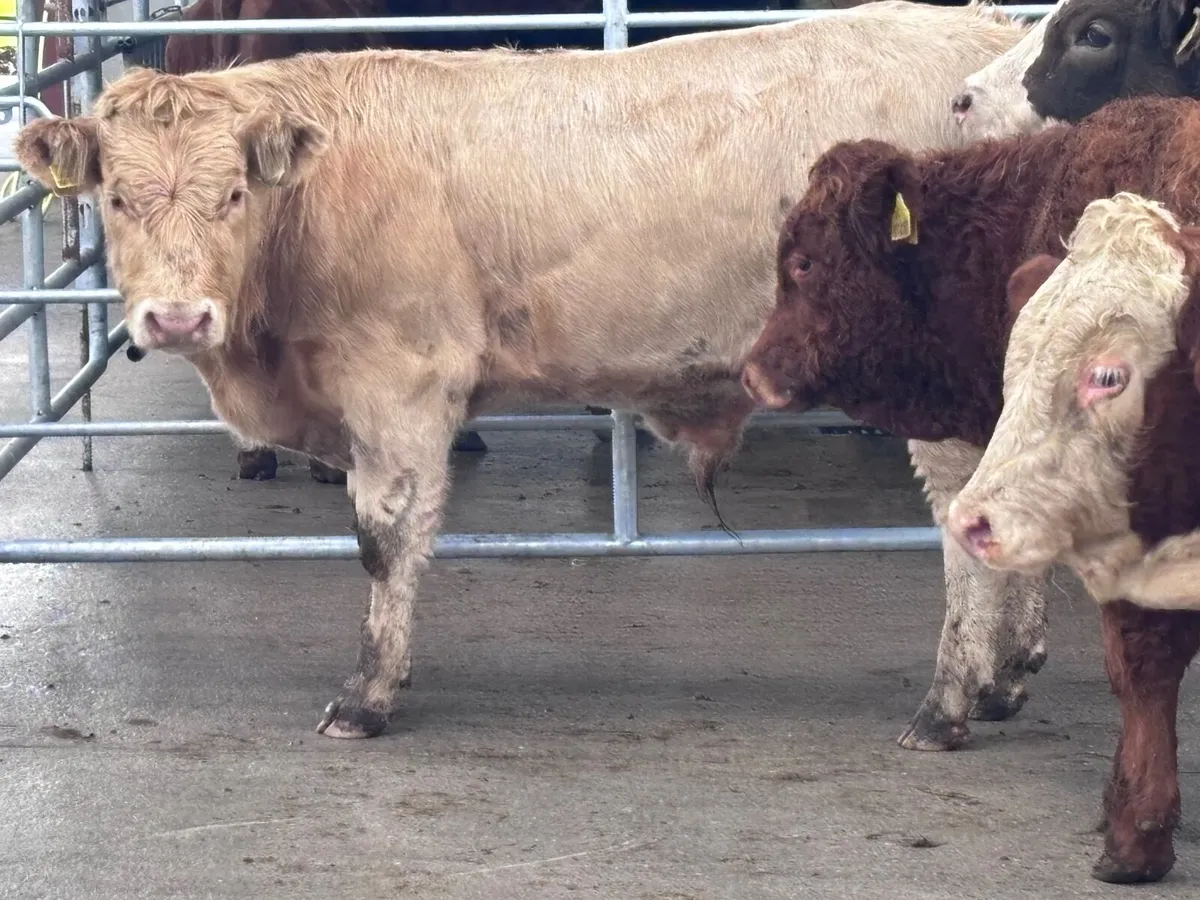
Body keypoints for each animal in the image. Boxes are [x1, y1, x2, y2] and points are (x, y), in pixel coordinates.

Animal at [11, 2, 1027, 749]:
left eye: (231, 196)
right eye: (115, 198)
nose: (179, 318)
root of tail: (986, 36)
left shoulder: (400, 383)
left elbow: (385, 542)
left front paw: (368, 694)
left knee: (964, 522)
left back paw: (950, 705)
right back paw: (1009, 677)